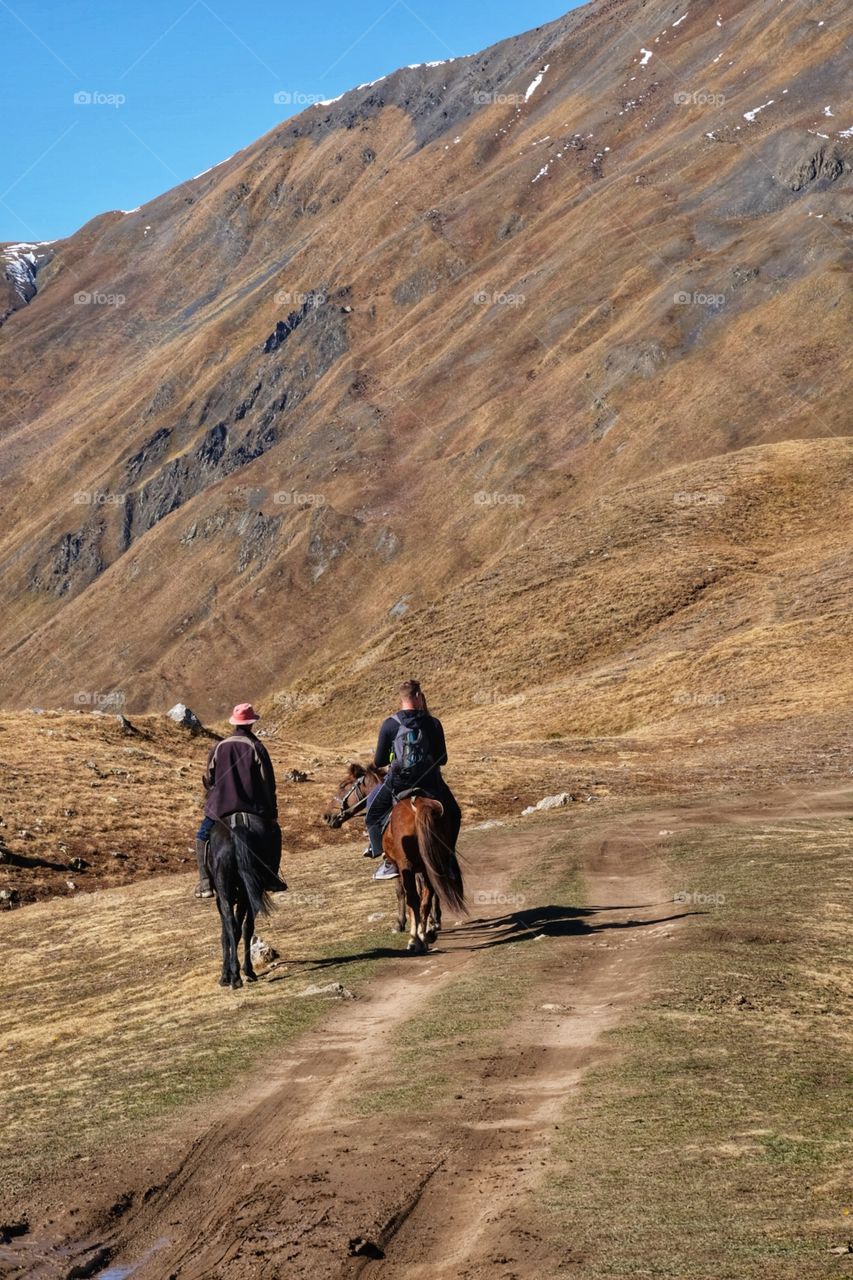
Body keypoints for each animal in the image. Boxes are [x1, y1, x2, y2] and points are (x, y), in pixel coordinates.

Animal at [206, 808, 285, 988]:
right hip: (247, 893)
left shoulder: (221, 899)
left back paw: (236, 976)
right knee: (243, 926)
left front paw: (226, 975)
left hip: (232, 893)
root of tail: (238, 822)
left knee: (233, 926)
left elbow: (226, 933)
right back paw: (242, 973)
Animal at [322, 757, 466, 952]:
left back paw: (415, 939)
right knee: (429, 893)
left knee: (415, 897)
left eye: (343, 785)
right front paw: (426, 927)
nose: (327, 816)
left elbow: (401, 892)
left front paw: (401, 924)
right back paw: (427, 932)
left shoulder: (399, 865)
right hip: (433, 858)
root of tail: (420, 805)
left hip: (408, 863)